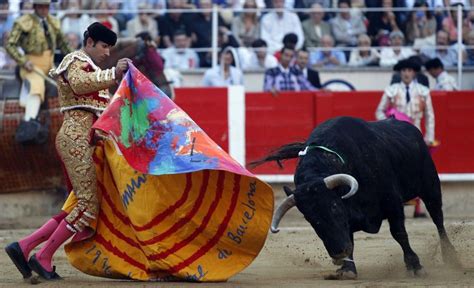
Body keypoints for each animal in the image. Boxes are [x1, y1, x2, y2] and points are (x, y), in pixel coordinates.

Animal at [252, 116, 460, 280]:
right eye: (309, 218)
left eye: (334, 206)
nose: (338, 254)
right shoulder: (349, 218)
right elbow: (350, 238)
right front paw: (348, 269)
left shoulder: (392, 201)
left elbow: (399, 233)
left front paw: (415, 266)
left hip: (430, 186)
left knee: (438, 219)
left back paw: (452, 258)